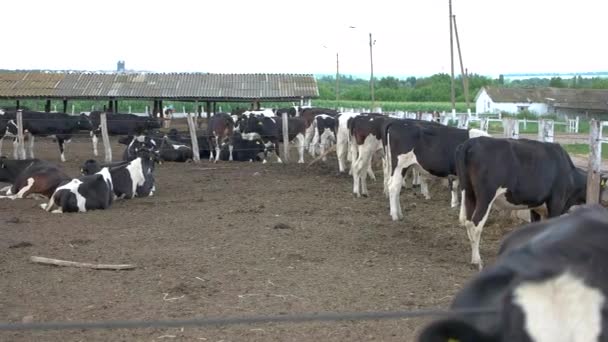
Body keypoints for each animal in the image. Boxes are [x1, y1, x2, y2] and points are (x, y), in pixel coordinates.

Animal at [456, 137, 608, 270]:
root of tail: (471, 142)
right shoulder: (556, 203)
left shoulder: (535, 206)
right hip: (486, 196)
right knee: (476, 223)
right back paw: (477, 261)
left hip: (469, 193)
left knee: (468, 221)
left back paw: (473, 259)